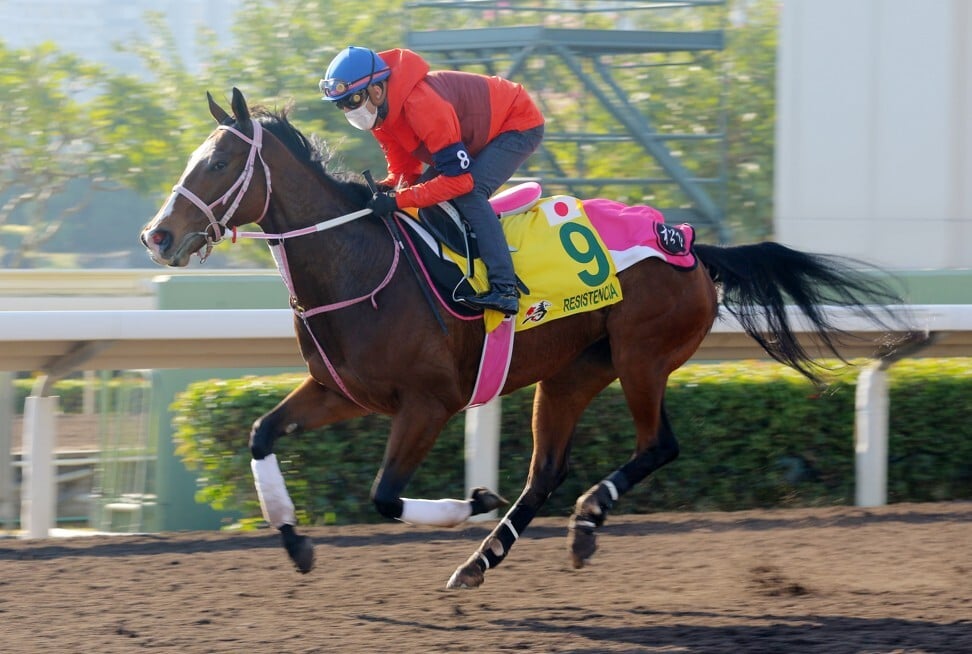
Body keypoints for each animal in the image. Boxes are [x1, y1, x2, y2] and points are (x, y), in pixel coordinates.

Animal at [140, 88, 916, 588]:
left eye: (217, 163)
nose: (159, 236)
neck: (358, 261)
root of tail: (690, 242)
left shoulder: (430, 402)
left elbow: (385, 497)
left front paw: (473, 500)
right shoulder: (343, 392)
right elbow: (260, 435)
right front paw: (295, 542)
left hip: (642, 356)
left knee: (657, 446)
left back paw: (583, 519)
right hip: (571, 373)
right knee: (545, 474)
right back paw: (483, 560)